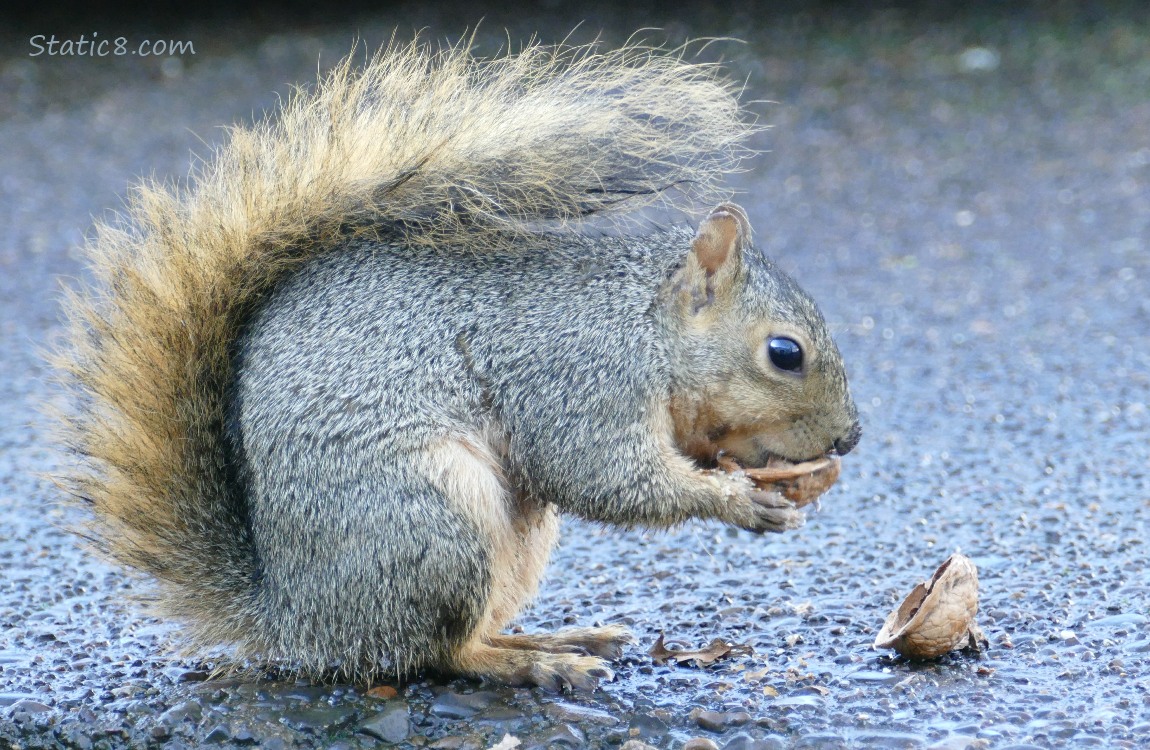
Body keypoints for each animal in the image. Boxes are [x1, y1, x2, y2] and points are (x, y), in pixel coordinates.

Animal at [56, 37, 864, 690]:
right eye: (785, 353)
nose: (850, 438)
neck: (644, 329)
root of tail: (294, 616)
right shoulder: (575, 377)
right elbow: (605, 477)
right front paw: (737, 502)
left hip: (510, 543)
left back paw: (550, 637)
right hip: (432, 523)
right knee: (435, 653)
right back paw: (534, 665)